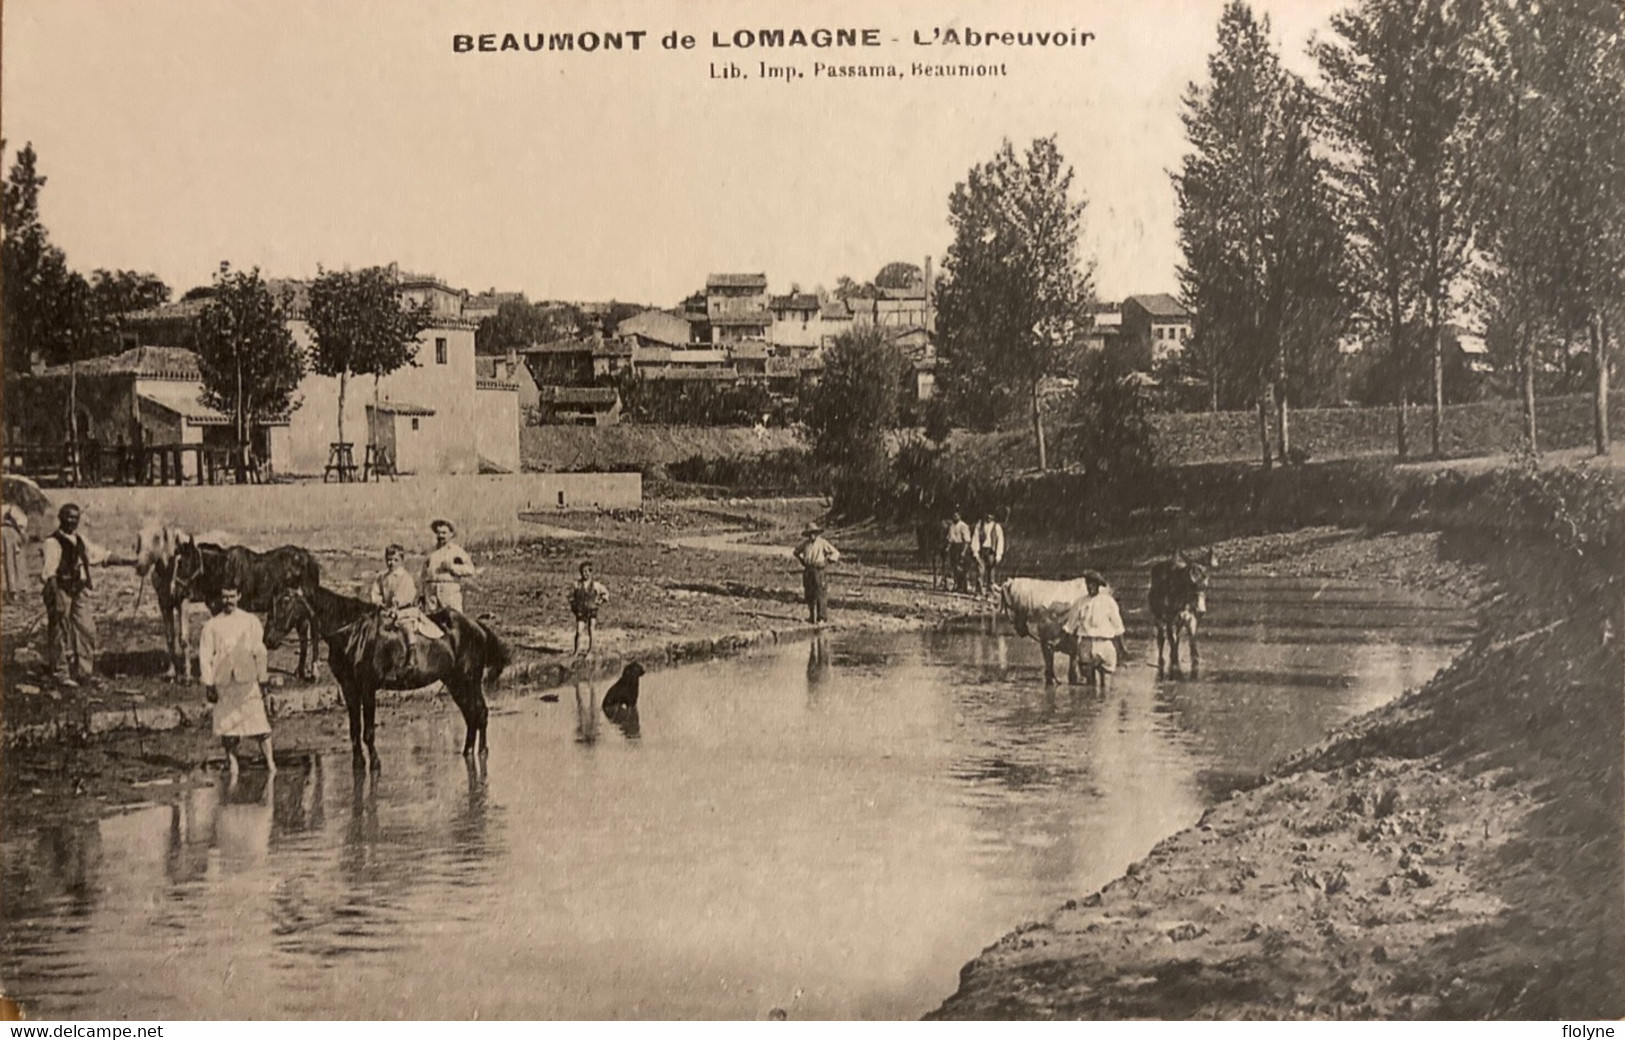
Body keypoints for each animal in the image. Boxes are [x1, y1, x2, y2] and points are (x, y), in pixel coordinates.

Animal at [263, 585, 510, 773]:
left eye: (286, 600)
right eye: (272, 601)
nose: (268, 639)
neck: (353, 633)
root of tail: (477, 627)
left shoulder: (367, 688)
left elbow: (368, 732)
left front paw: (374, 763)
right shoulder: (349, 689)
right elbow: (354, 731)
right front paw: (358, 764)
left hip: (468, 680)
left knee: (480, 713)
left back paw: (481, 752)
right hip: (455, 683)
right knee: (472, 715)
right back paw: (468, 751)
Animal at [1150, 549, 1215, 679]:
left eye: (1205, 585)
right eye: (1190, 583)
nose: (1201, 610)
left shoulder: (1191, 618)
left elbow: (1192, 640)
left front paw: (1195, 661)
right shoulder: (1169, 618)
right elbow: (1171, 639)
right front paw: (1174, 663)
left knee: (1177, 636)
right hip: (1158, 616)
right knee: (1161, 637)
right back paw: (1162, 660)